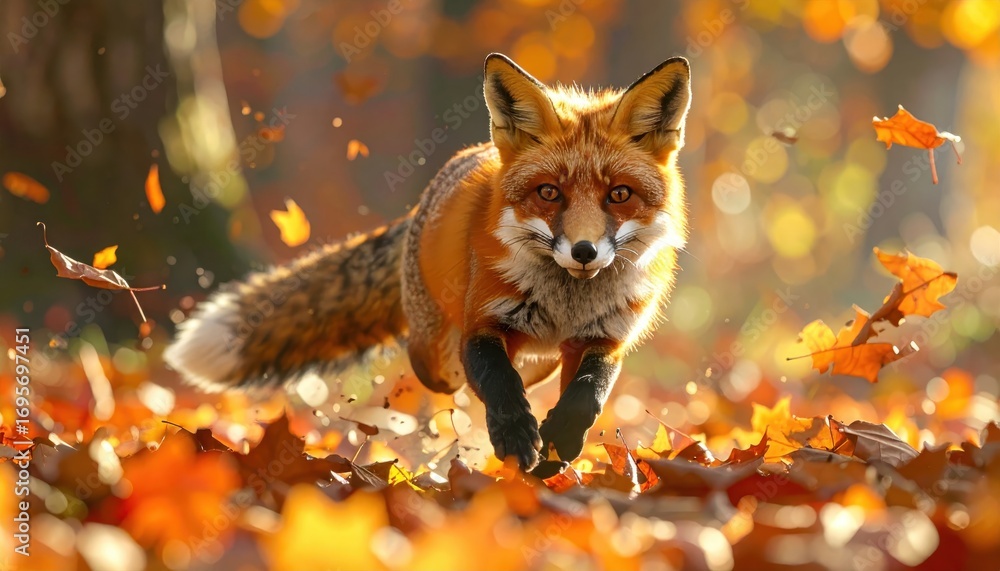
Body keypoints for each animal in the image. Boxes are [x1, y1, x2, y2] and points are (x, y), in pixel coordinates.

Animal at [164, 53, 692, 474]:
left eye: (619, 195)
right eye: (549, 193)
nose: (584, 251)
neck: (567, 305)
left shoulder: (605, 338)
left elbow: (588, 395)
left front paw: (559, 443)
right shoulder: (483, 325)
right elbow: (499, 382)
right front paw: (517, 438)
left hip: (537, 357)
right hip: (437, 353)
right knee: (445, 368)